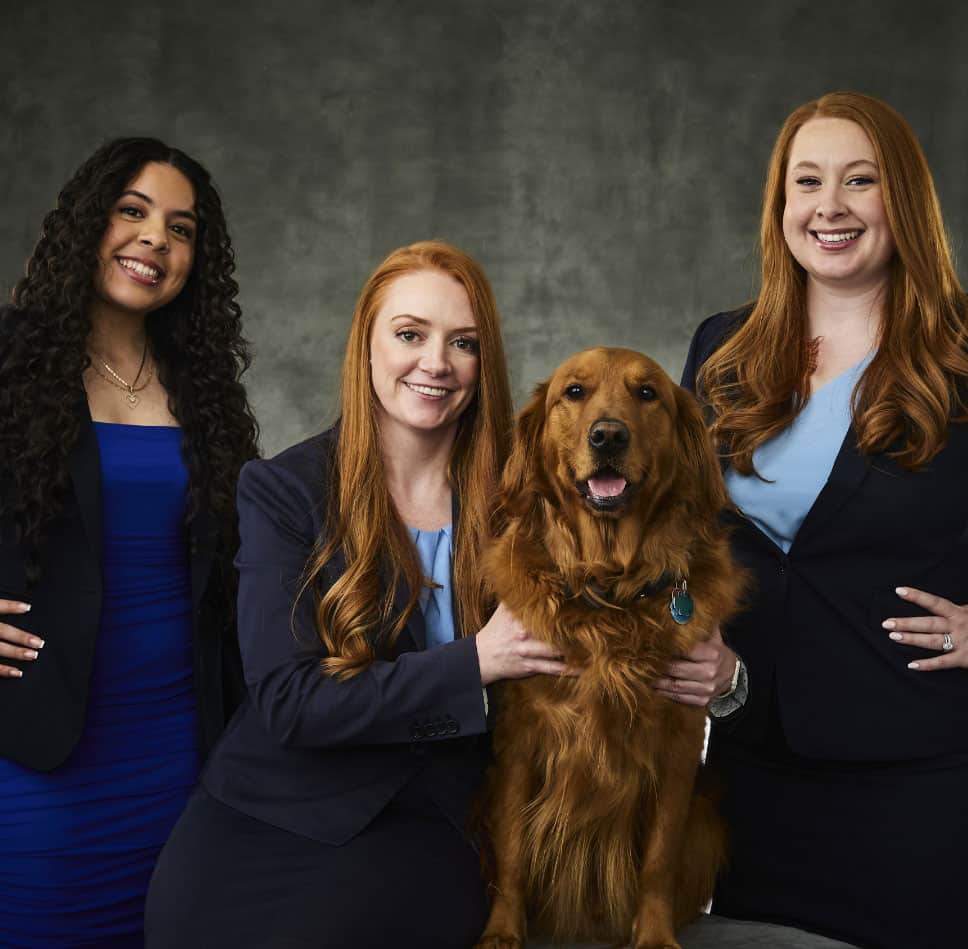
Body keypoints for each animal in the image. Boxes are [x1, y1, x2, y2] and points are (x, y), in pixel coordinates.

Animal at [480, 348, 744, 948]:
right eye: (574, 392)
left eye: (647, 394)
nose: (607, 436)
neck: (611, 590)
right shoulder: (519, 739)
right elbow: (511, 849)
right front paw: (502, 932)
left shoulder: (680, 744)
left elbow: (658, 859)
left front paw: (654, 936)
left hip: (708, 819)